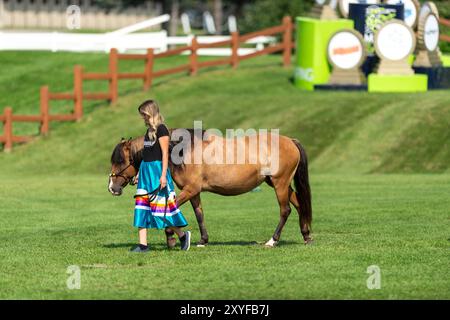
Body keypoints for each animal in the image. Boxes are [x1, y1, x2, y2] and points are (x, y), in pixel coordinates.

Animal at [109, 128, 312, 248]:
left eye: (120, 161)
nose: (112, 188)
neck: (184, 151)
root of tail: (291, 141)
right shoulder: (194, 192)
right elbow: (199, 214)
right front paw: (202, 240)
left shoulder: (190, 190)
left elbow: (170, 212)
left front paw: (171, 238)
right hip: (279, 184)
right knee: (299, 204)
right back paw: (306, 235)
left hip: (280, 183)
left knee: (285, 210)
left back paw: (272, 240)